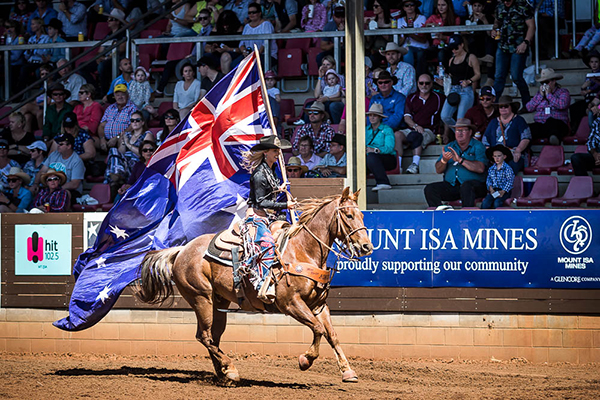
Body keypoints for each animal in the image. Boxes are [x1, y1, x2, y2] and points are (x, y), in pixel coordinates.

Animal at [137, 188, 372, 384]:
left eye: (361, 215)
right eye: (348, 216)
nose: (366, 247)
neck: (303, 250)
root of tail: (181, 250)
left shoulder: (318, 305)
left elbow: (332, 334)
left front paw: (347, 371)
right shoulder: (291, 304)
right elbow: (318, 329)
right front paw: (305, 360)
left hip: (218, 302)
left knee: (213, 336)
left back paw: (224, 373)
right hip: (201, 298)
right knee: (203, 336)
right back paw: (230, 369)